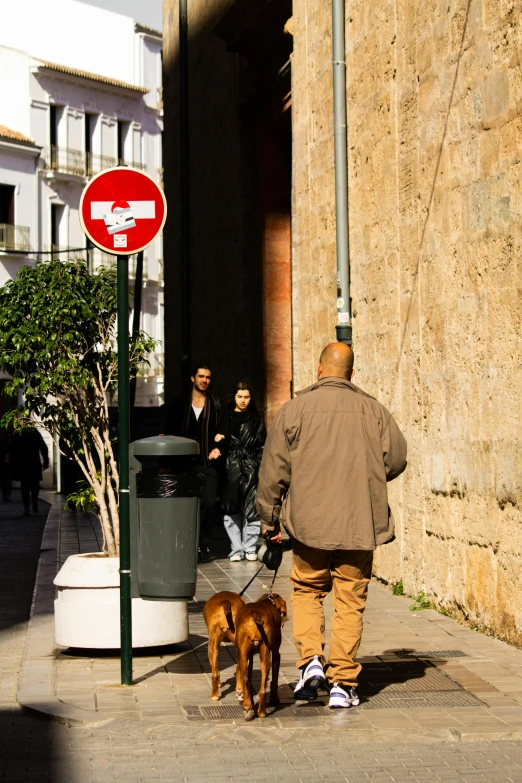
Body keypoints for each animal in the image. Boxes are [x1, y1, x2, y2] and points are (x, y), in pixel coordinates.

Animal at [234, 596, 286, 724]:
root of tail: (255, 613)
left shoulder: (250, 656)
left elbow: (249, 675)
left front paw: (252, 705)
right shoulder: (276, 654)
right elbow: (274, 680)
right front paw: (274, 699)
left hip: (243, 653)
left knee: (246, 680)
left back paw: (248, 708)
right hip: (265, 651)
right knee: (262, 688)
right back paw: (262, 712)